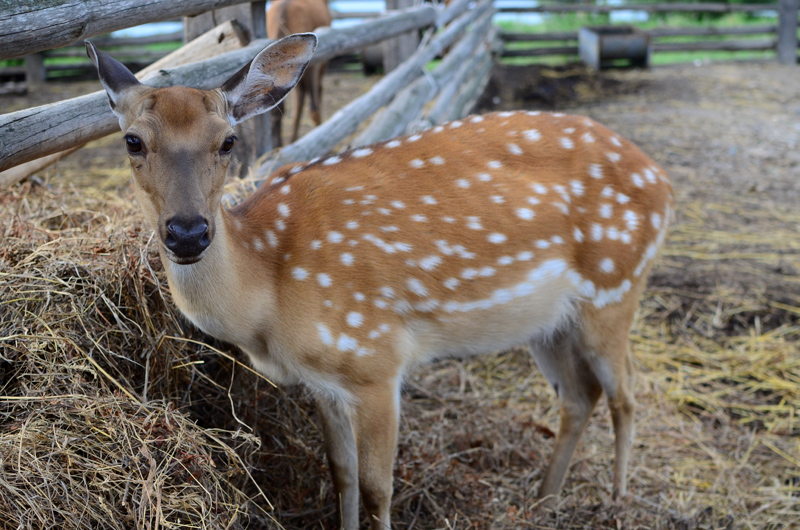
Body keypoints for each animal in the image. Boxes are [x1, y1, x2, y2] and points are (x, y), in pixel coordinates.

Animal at [87, 33, 676, 528]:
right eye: (133, 141)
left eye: (229, 141)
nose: (187, 232)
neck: (269, 299)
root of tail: (664, 182)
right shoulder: (323, 379)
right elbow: (341, 477)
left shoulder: (375, 359)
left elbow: (377, 489)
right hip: (547, 322)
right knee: (580, 396)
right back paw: (544, 501)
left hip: (618, 284)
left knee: (625, 393)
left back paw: (618, 500)